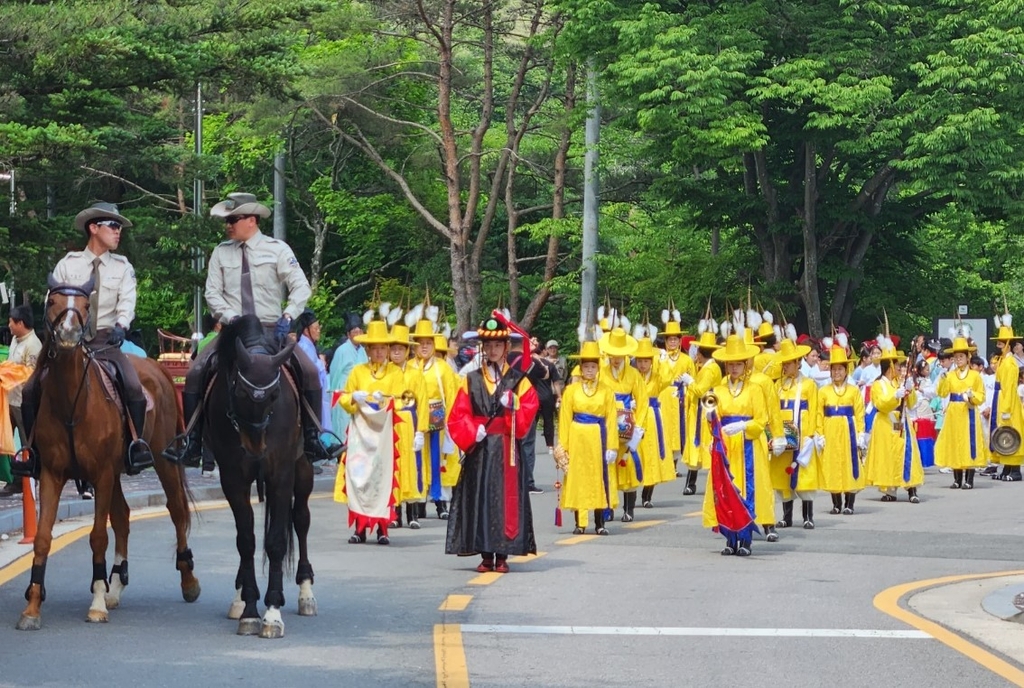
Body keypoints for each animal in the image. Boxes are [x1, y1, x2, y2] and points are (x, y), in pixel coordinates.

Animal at [16, 278, 198, 630]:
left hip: (160, 461)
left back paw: (188, 581)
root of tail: (157, 367)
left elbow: (99, 536)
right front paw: (32, 607)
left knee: (176, 510)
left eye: (86, 305)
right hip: (115, 472)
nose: (69, 332)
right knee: (124, 517)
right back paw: (115, 585)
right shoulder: (52, 474)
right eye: (53, 301)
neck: (72, 402)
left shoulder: (100, 474)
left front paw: (97, 603)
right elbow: (42, 537)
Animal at [206, 315, 315, 638]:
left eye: (275, 395)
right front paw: (250, 609)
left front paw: (272, 611)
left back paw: (306, 592)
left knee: (301, 520)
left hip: (302, 469)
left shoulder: (281, 474)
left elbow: (276, 541)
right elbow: (246, 541)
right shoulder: (232, 479)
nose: (256, 447)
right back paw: (239, 597)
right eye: (239, 392)